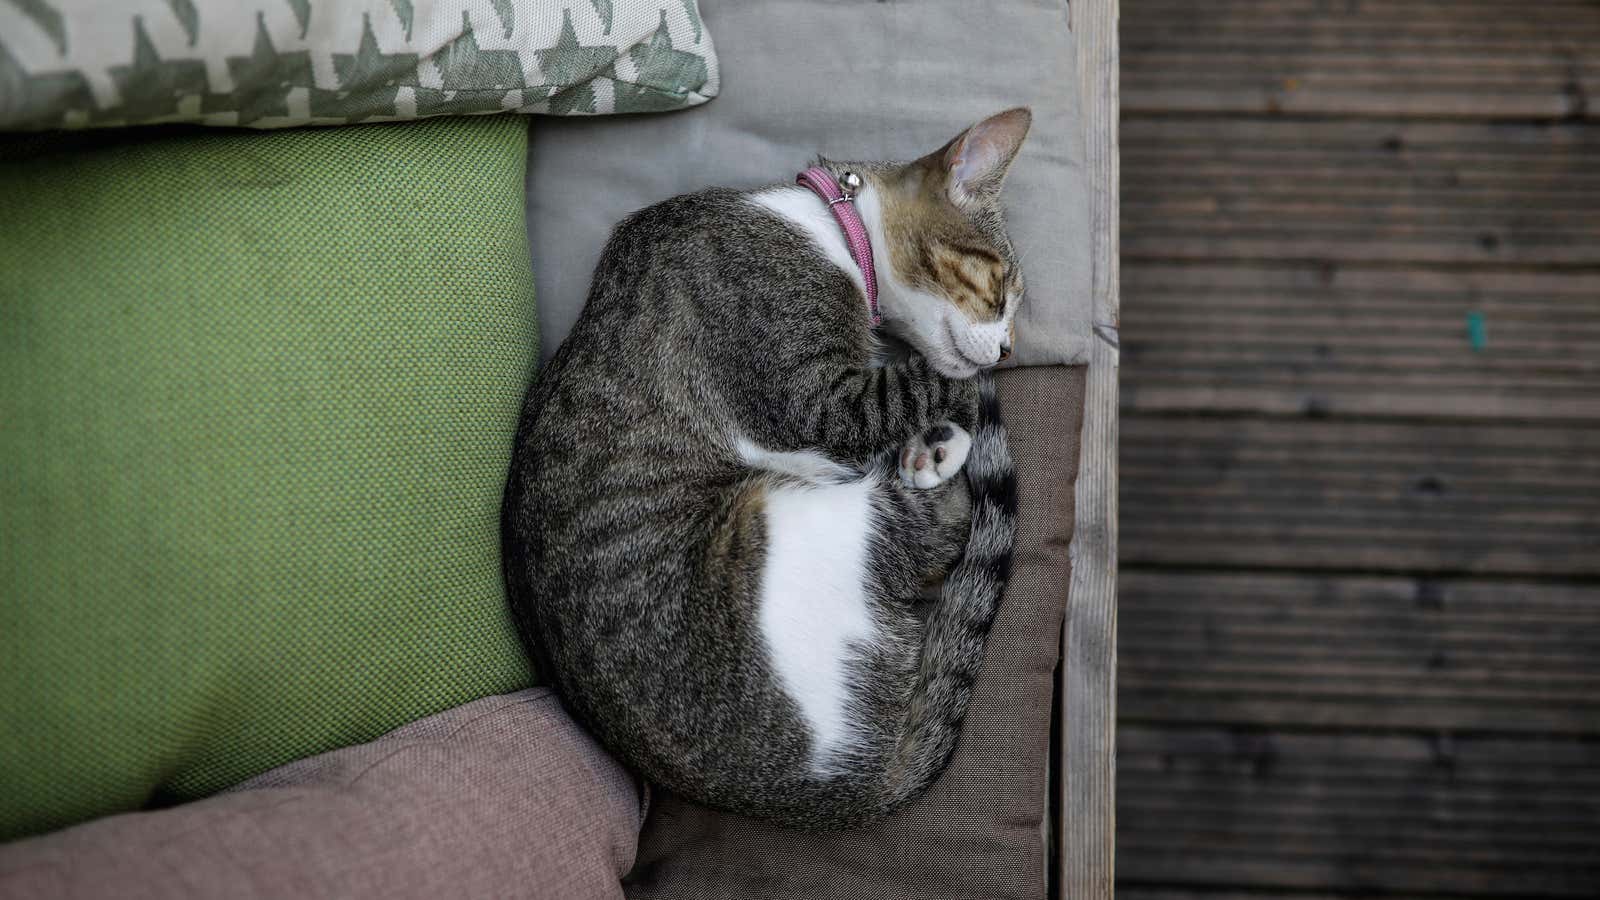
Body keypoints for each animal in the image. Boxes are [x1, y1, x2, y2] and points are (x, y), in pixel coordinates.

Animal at [499, 106, 1030, 826]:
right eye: (1001, 287)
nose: (1007, 351)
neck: (829, 222)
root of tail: (839, 795)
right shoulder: (813, 401)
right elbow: (923, 380)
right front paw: (966, 389)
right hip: (787, 521)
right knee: (940, 520)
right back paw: (936, 451)